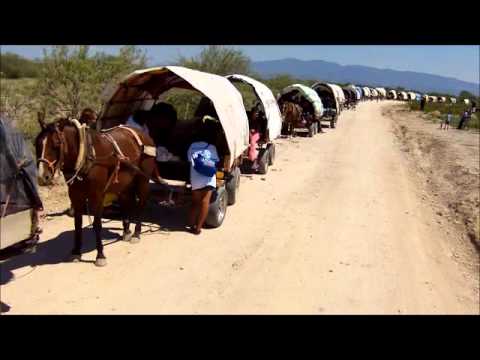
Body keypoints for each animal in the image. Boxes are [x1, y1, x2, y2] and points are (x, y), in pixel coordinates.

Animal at [35, 115, 156, 268]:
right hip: (125, 182)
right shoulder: (76, 196)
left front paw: (100, 255)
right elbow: (77, 224)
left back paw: (136, 233)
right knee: (126, 202)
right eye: (37, 144)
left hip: (143, 179)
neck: (87, 156)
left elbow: (97, 225)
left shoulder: (97, 196)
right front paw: (76, 251)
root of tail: (145, 135)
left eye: (56, 144)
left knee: (141, 204)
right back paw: (127, 231)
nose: (42, 177)